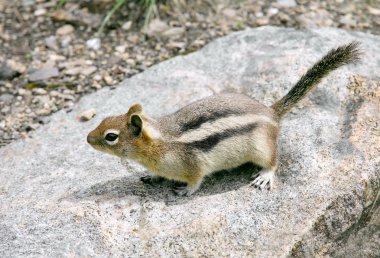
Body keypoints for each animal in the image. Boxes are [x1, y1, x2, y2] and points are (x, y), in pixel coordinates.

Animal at [87, 42, 360, 196]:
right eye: (103, 119)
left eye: (110, 137)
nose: (87, 139)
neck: (160, 143)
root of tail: (270, 112)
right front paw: (152, 177)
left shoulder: (193, 165)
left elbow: (196, 180)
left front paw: (185, 191)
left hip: (261, 147)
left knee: (274, 160)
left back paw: (265, 175)